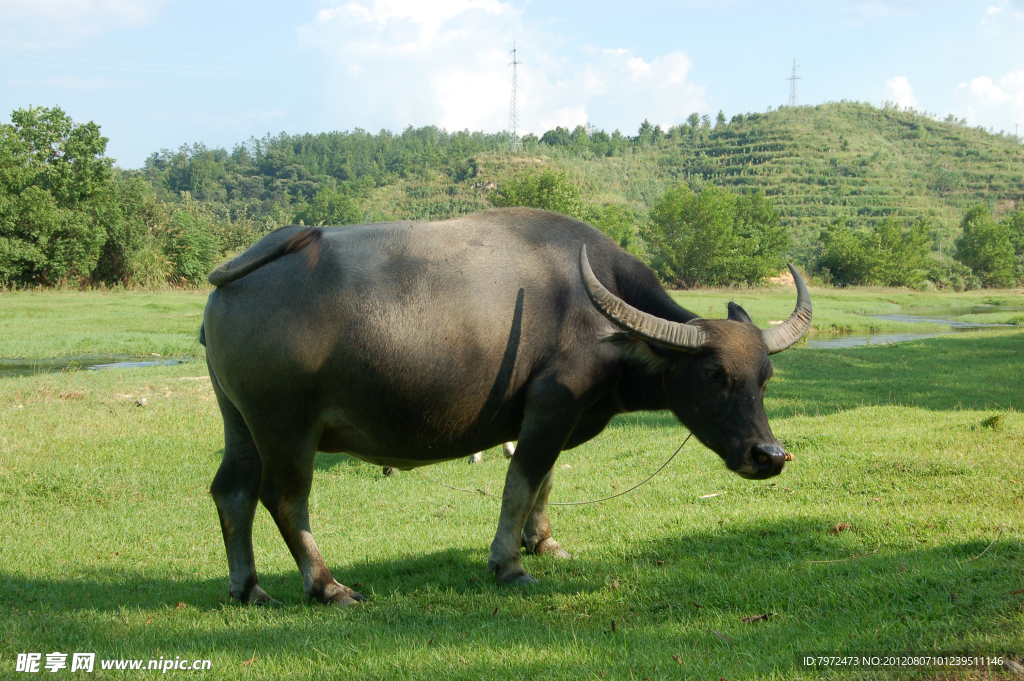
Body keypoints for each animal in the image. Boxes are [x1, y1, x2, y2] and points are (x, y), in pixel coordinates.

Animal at [199, 204, 806, 602]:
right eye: (714, 374)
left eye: (765, 378)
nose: (769, 456)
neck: (599, 318)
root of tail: (241, 273)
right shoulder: (550, 408)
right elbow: (521, 481)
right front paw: (509, 564)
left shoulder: (551, 416)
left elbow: (545, 482)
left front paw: (545, 542)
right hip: (285, 427)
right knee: (284, 499)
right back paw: (327, 586)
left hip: (240, 421)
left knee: (232, 491)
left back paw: (248, 588)